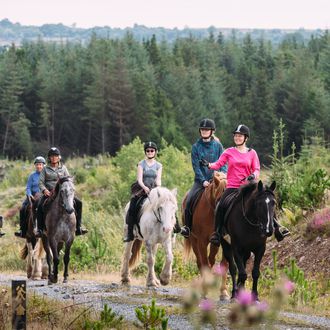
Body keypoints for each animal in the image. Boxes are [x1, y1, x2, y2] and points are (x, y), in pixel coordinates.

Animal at [182, 171, 228, 300]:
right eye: (219, 198)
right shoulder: (202, 241)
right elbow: (205, 264)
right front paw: (204, 291)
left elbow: (221, 263)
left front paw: (223, 292)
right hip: (193, 240)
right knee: (200, 262)